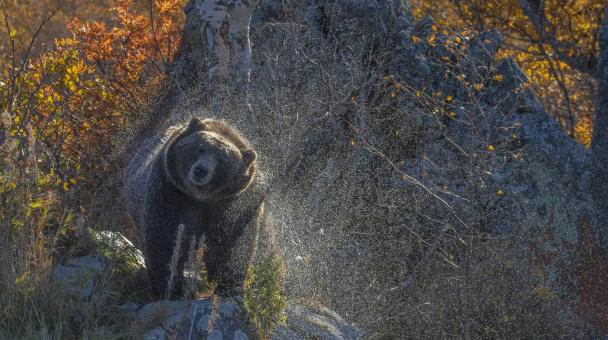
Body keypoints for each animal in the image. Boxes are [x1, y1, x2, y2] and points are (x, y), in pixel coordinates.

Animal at [123, 117, 276, 298]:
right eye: (200, 148)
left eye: (223, 160)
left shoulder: (236, 204)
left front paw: (230, 287)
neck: (202, 199)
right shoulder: (170, 191)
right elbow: (166, 238)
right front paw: (172, 287)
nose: (201, 170)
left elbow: (232, 245)